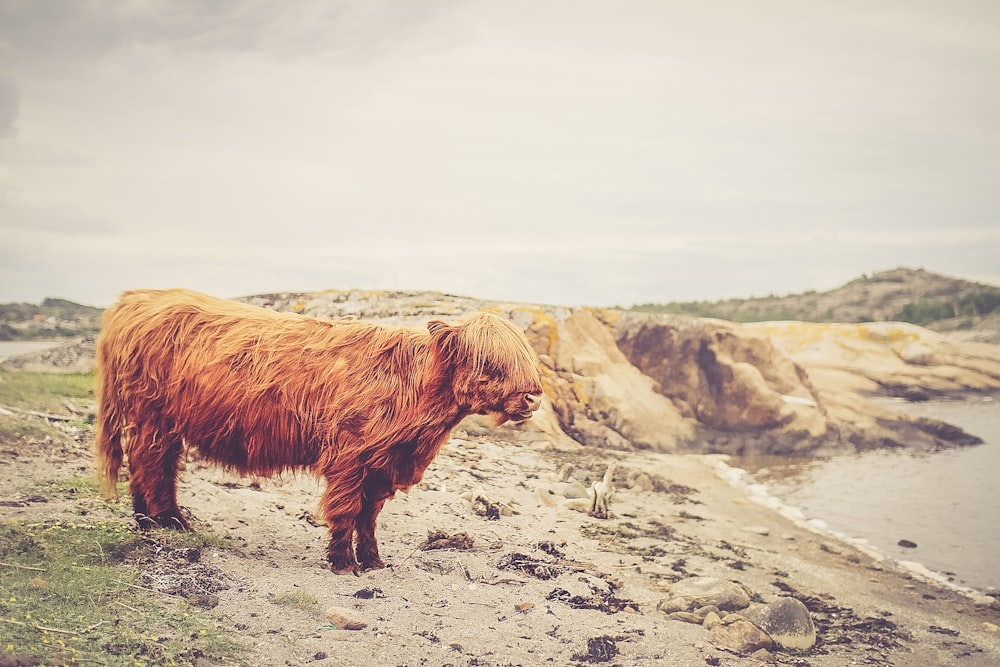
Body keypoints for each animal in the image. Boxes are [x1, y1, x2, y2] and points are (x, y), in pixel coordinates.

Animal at [97, 288, 544, 576]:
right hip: (153, 414)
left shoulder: (383, 463)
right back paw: (169, 521)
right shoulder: (350, 455)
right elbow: (346, 509)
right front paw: (343, 563)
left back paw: (147, 519)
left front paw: (373, 560)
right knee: (152, 462)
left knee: (150, 463)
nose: (534, 396)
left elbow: (369, 515)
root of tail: (136, 298)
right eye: (490, 362)